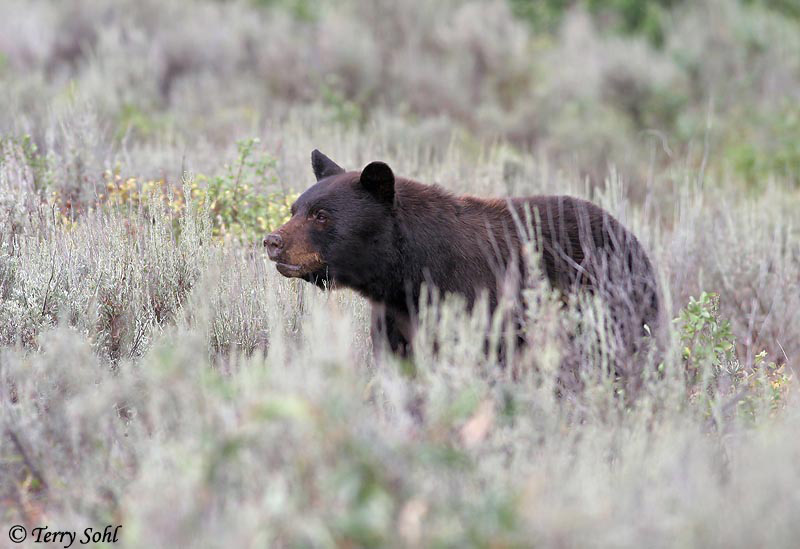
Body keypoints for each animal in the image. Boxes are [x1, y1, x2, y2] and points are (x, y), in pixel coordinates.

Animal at [265, 150, 661, 367]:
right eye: (295, 208)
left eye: (321, 215)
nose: (272, 241)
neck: (411, 270)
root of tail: (630, 236)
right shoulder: (395, 313)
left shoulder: (475, 299)